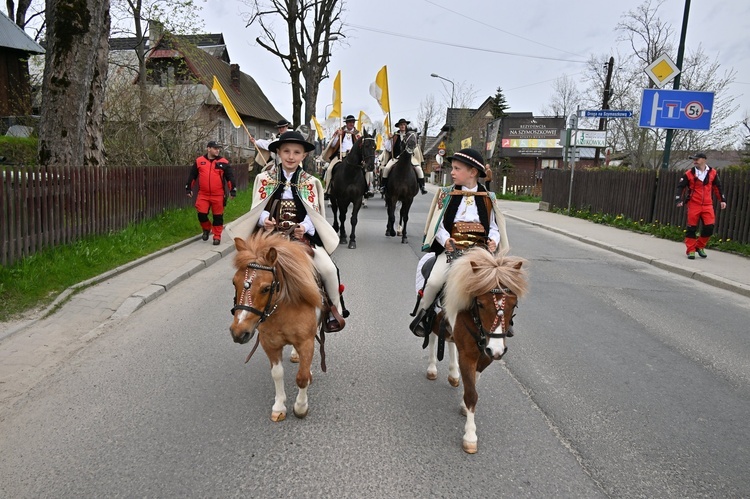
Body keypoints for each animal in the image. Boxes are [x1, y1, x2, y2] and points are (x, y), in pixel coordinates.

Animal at [231, 230, 328, 422]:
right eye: (234, 282)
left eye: (266, 288)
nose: (238, 333)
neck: (283, 309)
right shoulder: (270, 344)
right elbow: (277, 373)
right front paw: (279, 406)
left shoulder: (306, 342)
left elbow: (302, 377)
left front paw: (300, 407)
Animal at [426, 248, 532, 456]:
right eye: (481, 304)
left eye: (514, 304)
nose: (497, 350)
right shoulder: (469, 354)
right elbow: (471, 394)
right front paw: (470, 436)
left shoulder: (485, 356)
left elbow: (473, 382)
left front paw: (463, 405)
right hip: (436, 321)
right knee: (434, 338)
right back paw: (432, 368)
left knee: (450, 343)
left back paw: (453, 374)